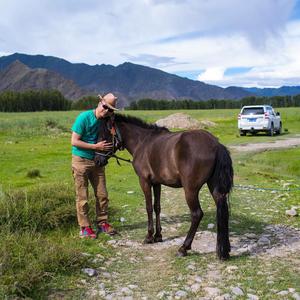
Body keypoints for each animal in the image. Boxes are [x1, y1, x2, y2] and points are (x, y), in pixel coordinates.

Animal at [96, 113, 234, 258]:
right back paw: (224, 250)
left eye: (104, 136)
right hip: (214, 188)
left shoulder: (144, 181)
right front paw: (158, 236)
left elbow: (149, 207)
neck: (142, 142)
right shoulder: (157, 183)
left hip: (190, 190)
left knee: (197, 214)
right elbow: (157, 207)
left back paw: (184, 248)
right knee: (223, 210)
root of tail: (216, 145)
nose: (97, 160)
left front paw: (149, 236)